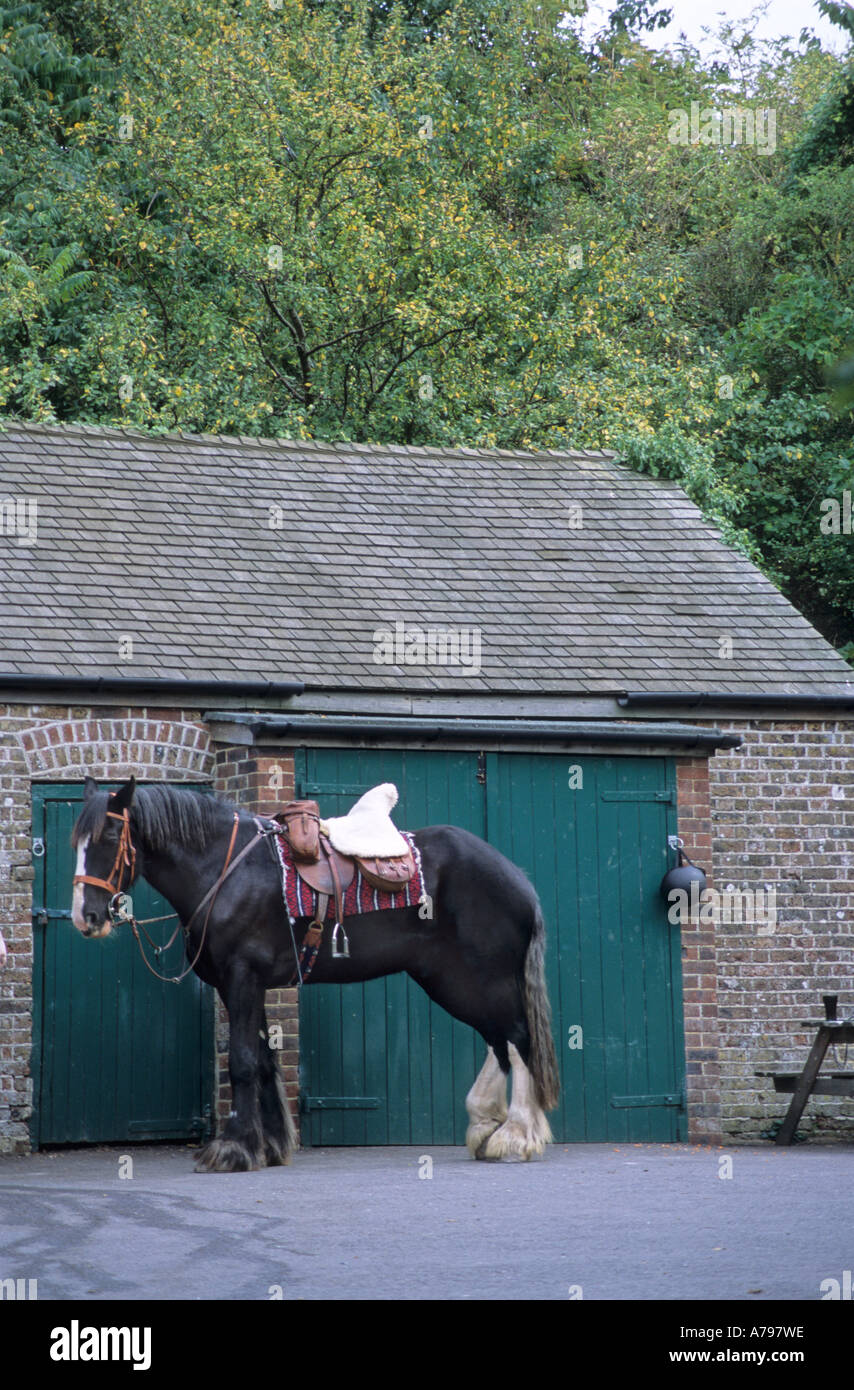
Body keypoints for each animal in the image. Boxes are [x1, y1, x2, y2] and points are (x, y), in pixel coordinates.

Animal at [71, 778, 561, 1167]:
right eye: (77, 843)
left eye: (111, 835)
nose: (85, 916)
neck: (225, 870)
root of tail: (517, 879)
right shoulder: (243, 985)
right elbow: (263, 1059)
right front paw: (267, 1146)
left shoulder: (242, 976)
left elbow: (243, 1062)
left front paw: (232, 1149)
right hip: (453, 980)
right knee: (499, 1040)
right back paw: (487, 1126)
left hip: (482, 977)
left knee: (517, 1038)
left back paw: (516, 1135)